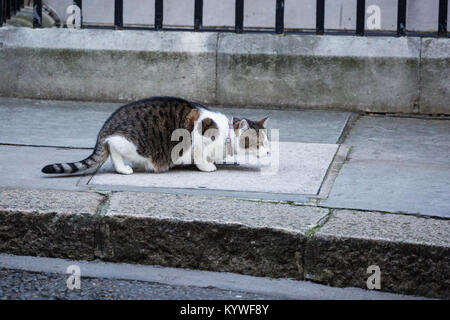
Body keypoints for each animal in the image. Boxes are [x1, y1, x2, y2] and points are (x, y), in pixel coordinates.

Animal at [42, 96, 268, 175]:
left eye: (267, 143)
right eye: (259, 144)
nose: (267, 152)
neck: (226, 134)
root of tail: (107, 125)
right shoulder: (197, 140)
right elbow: (200, 157)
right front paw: (207, 166)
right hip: (131, 143)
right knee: (113, 147)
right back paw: (123, 168)